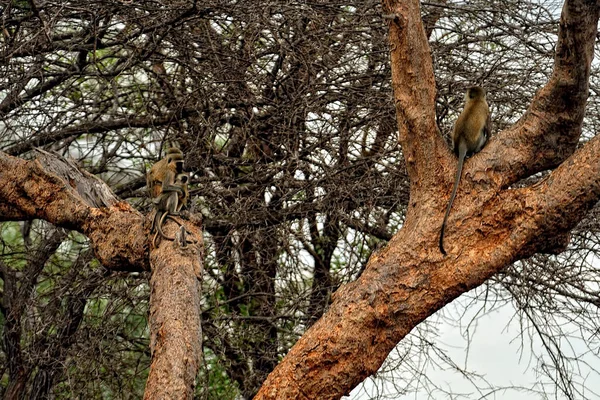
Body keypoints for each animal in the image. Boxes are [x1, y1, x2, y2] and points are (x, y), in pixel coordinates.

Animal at [438, 86, 490, 256]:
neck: (476, 101)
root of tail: (462, 143)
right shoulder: (486, 108)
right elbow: (488, 130)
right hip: (476, 142)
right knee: (483, 134)